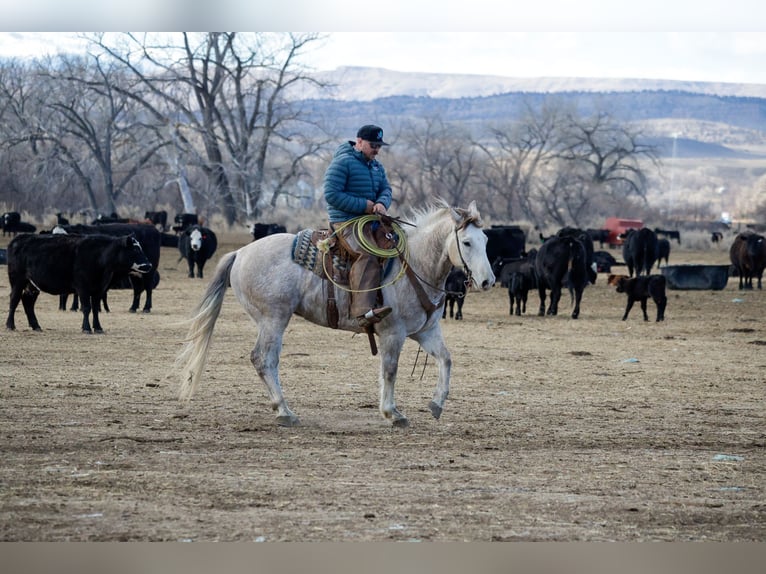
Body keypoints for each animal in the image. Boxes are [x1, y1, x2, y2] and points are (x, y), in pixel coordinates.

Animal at [175, 200, 495, 428]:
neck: (415, 264)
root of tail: (240, 253)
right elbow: (390, 370)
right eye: (467, 242)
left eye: (486, 241)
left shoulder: (425, 331)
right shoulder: (393, 333)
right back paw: (285, 411)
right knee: (263, 359)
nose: (488, 281)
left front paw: (436, 403)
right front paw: (392, 413)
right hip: (273, 319)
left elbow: (446, 359)